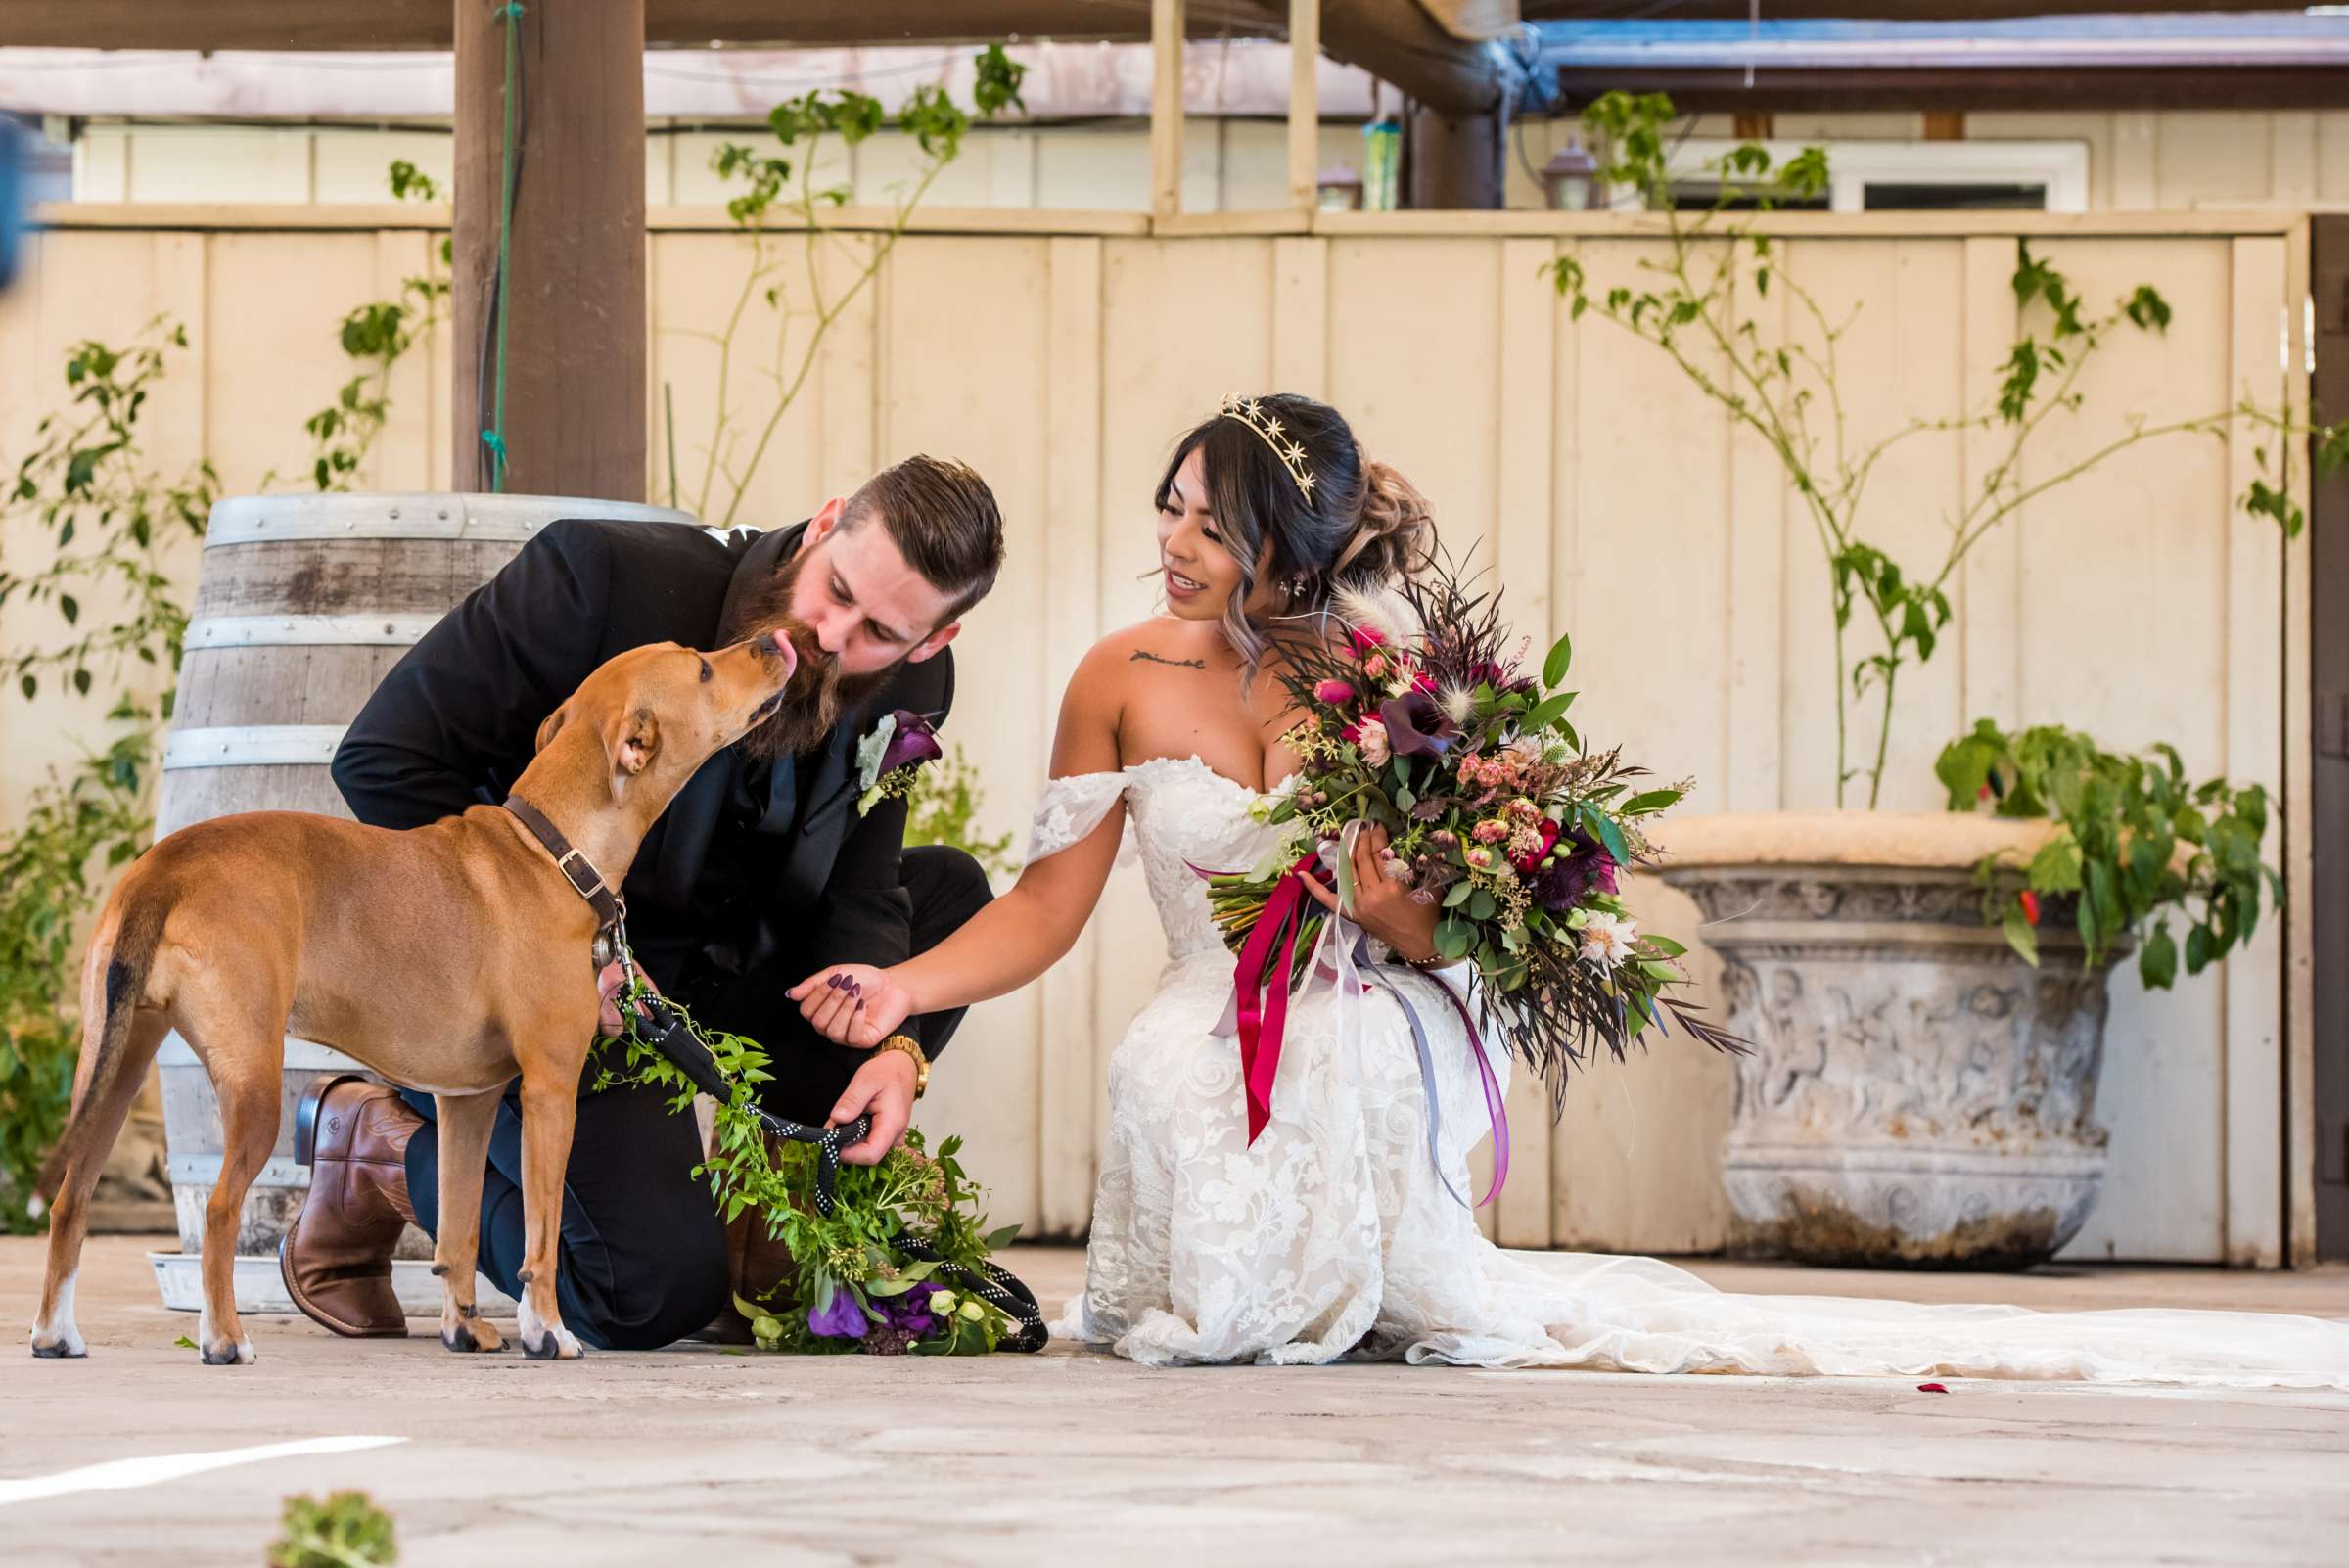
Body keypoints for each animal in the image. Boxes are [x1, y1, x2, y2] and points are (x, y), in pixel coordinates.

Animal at [29, 628, 799, 1360]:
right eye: (702, 668)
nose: (773, 642)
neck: (554, 851)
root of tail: (167, 865)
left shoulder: (467, 1103)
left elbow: (458, 1231)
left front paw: (463, 1328)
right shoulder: (551, 1091)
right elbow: (541, 1238)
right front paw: (548, 1331)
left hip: (113, 1069)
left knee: (71, 1200)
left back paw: (55, 1334)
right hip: (249, 1085)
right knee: (218, 1210)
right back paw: (223, 1340)